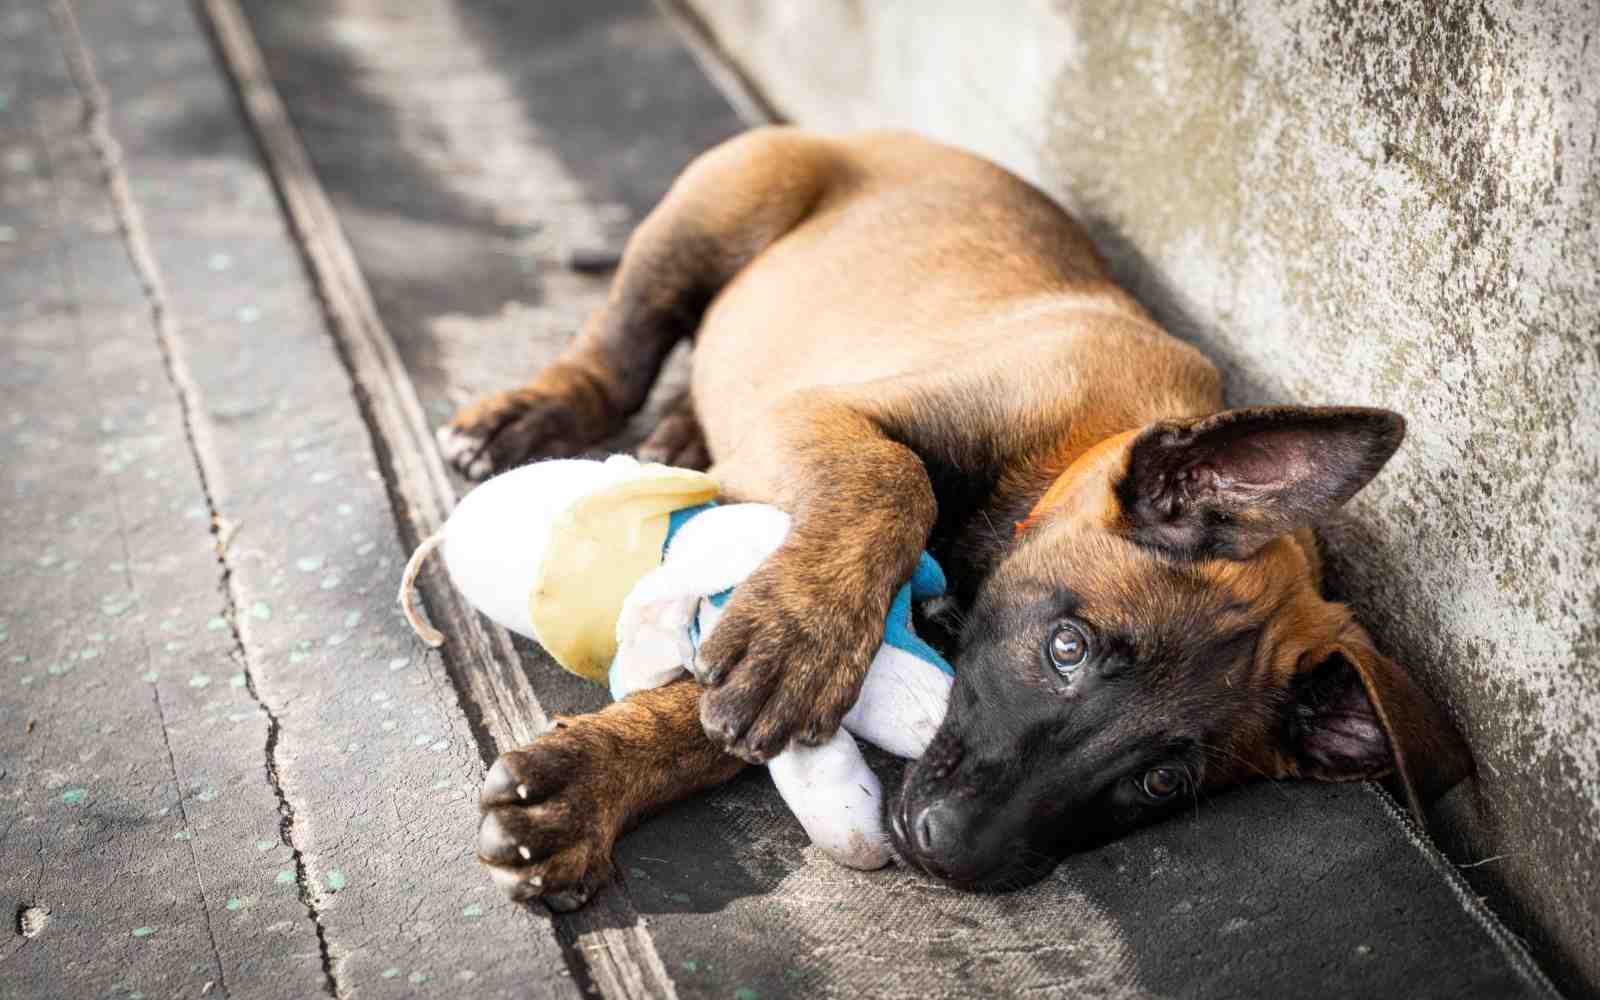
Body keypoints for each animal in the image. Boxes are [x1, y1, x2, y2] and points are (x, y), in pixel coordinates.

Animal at [441, 128, 1472, 908]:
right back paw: (530, 414)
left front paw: (593, 783)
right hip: (720, 203)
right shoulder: (822, 414)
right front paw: (794, 646)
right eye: (1067, 648)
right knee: (622, 350)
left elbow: (715, 706)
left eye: (1162, 781)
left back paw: (680, 434)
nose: (949, 852)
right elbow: (895, 478)